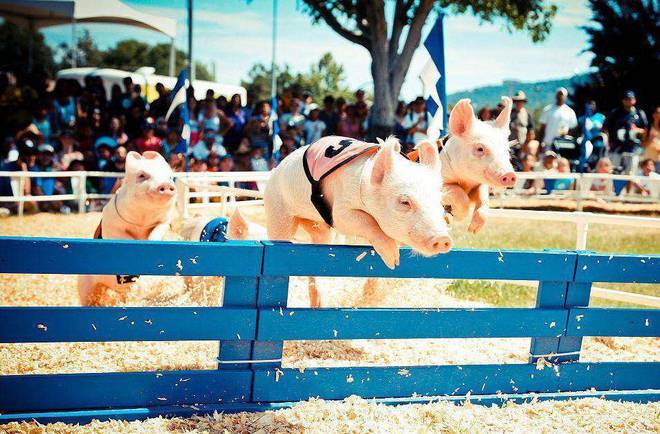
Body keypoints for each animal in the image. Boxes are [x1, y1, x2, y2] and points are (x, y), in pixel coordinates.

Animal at [77, 151, 178, 306]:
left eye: (170, 177)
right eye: (142, 175)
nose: (166, 184)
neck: (142, 221)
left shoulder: (164, 221)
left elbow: (157, 231)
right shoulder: (112, 225)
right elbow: (125, 237)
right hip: (84, 283)